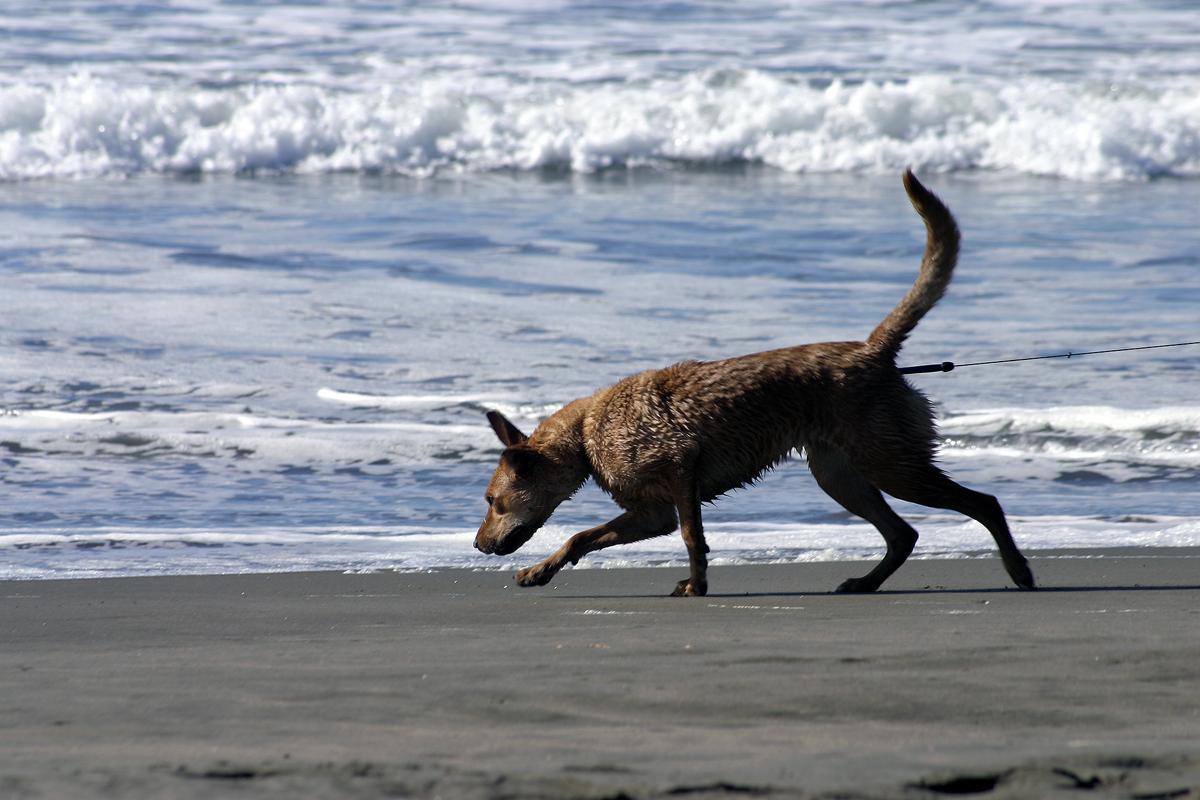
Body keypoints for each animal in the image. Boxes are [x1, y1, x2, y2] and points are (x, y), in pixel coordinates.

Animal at [472, 170, 1036, 594]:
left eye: (493, 501)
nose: (478, 544)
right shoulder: (651, 512)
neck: (588, 431)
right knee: (903, 534)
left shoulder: (679, 480)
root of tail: (873, 351)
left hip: (891, 464)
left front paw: (697, 587)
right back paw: (866, 583)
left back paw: (1018, 569)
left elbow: (691, 538)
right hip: (841, 475)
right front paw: (540, 571)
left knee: (981, 503)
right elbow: (580, 539)